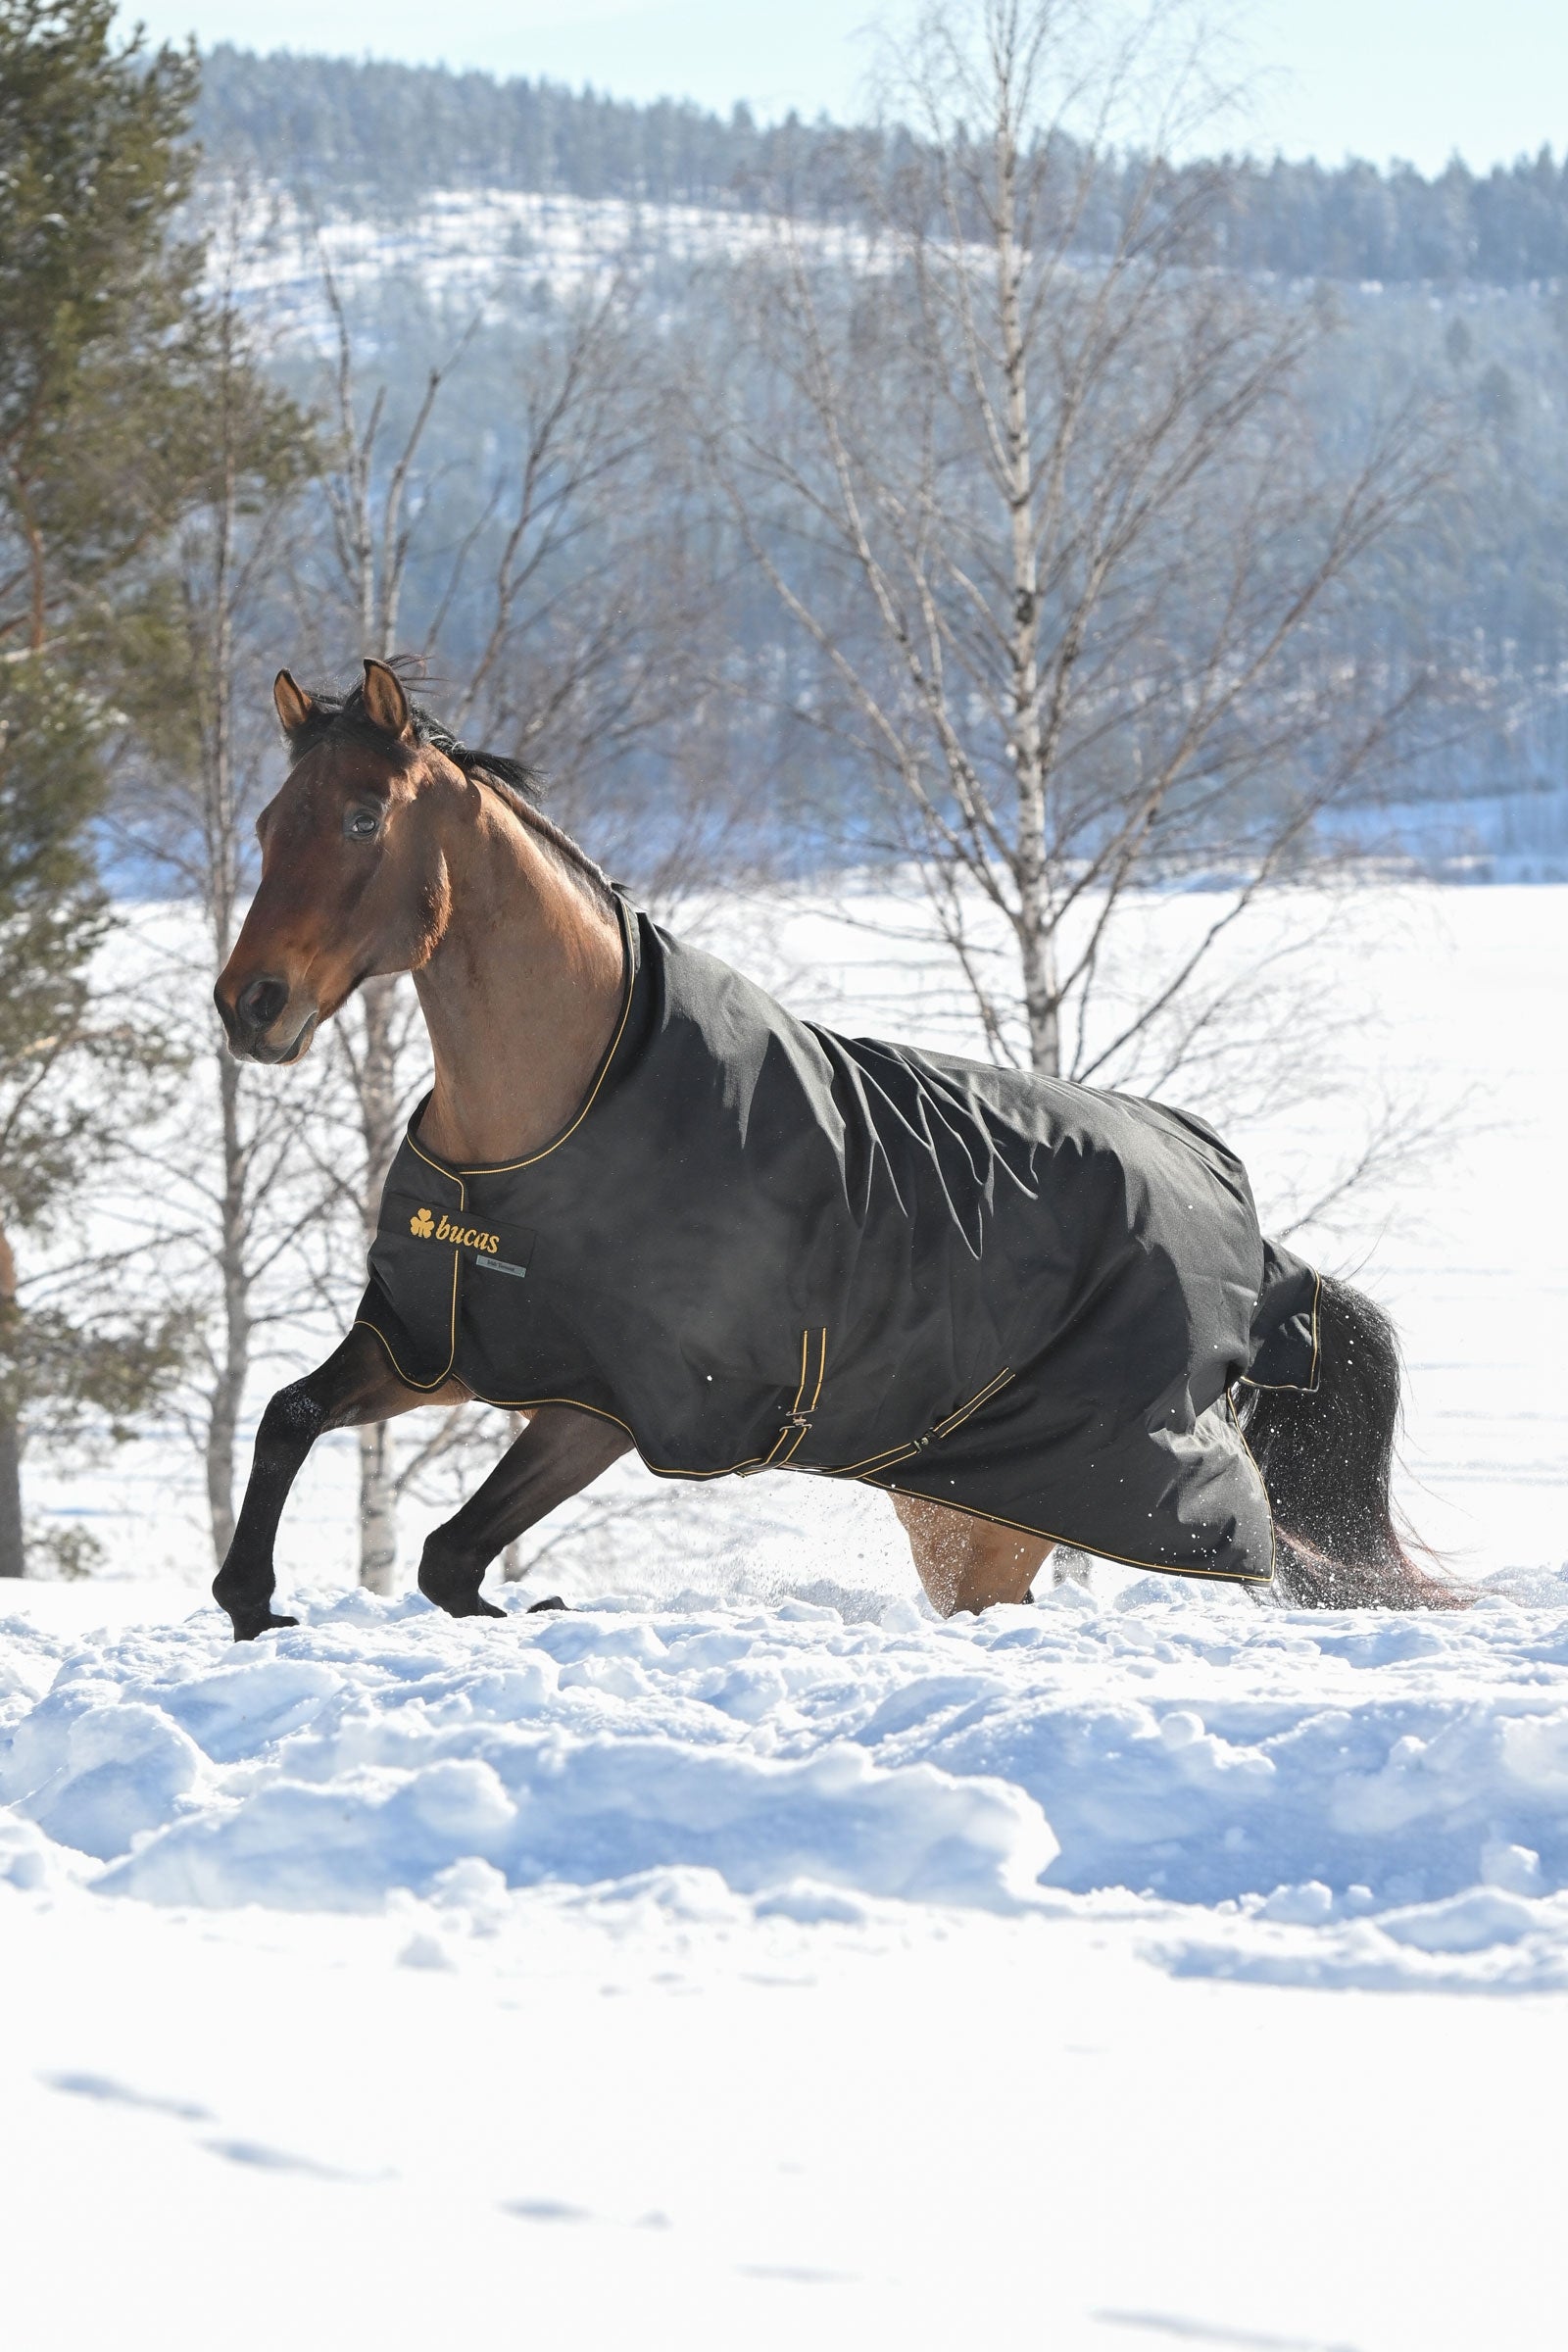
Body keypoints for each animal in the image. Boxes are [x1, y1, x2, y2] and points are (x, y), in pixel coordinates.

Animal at [210, 659, 1462, 1643]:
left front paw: (527, 1608)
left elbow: (448, 1557)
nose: (249, 1007)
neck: (556, 1117)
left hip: (1032, 1512)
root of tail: (1253, 1245)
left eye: (363, 818)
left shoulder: (603, 1407)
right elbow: (294, 1420)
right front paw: (250, 1601)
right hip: (958, 1507)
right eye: (267, 824)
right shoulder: (441, 1344)